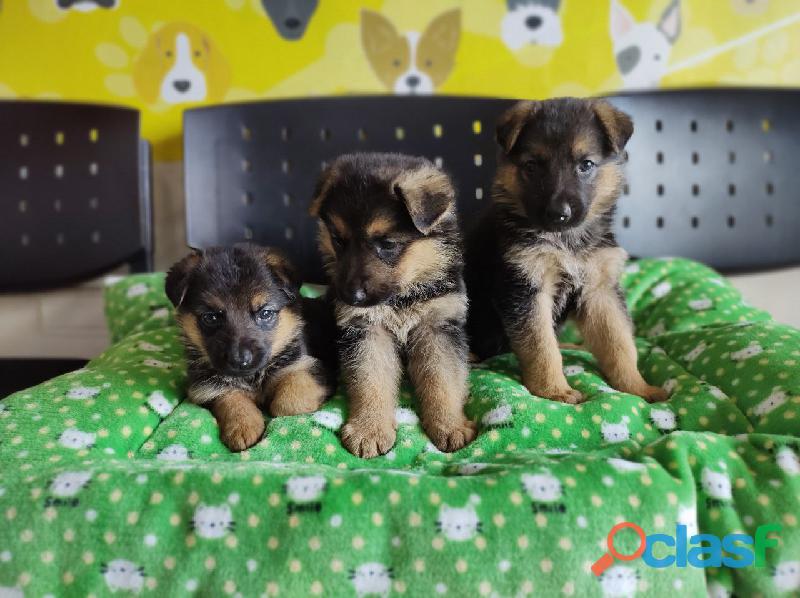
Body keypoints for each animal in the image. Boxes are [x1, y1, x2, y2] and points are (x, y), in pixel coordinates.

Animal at [166, 246, 334, 452]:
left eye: (265, 313)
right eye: (210, 317)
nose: (240, 361)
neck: (253, 377)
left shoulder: (306, 365)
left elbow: (288, 404)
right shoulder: (206, 387)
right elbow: (231, 398)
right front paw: (243, 426)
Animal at [310, 152, 476, 458]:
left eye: (387, 244)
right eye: (338, 240)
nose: (351, 297)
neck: (403, 297)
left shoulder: (437, 327)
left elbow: (443, 380)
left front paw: (450, 425)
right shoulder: (366, 331)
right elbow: (370, 380)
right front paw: (370, 429)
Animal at [462, 98, 668, 406]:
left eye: (586, 165)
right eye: (532, 166)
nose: (559, 214)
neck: (566, 241)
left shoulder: (600, 292)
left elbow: (620, 344)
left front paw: (638, 388)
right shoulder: (527, 291)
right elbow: (542, 347)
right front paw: (554, 391)